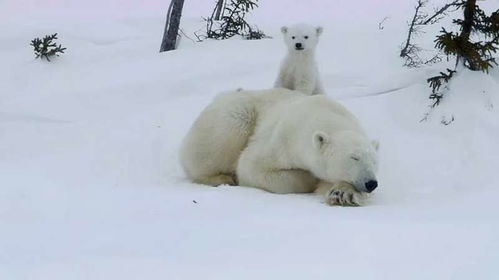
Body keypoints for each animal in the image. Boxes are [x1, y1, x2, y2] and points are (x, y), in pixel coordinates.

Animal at [180, 88, 378, 206]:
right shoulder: (282, 139)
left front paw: (343, 193)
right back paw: (221, 178)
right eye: (354, 157)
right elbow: (251, 166)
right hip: (234, 113)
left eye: (374, 161)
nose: (371, 183)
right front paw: (309, 179)